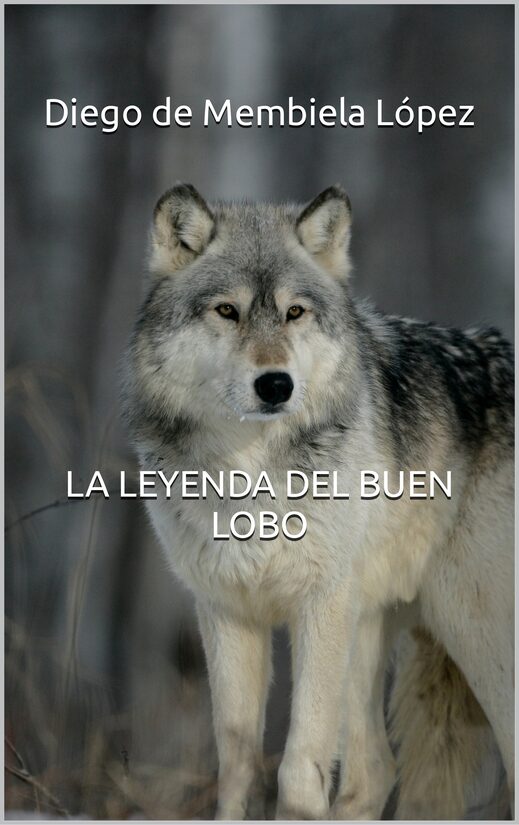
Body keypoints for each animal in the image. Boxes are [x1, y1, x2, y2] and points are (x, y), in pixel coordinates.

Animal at [124, 183, 514, 820]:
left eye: (294, 313)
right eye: (227, 311)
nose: (275, 384)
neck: (250, 474)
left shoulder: (319, 605)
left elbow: (297, 767)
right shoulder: (229, 611)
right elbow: (237, 763)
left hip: (468, 626)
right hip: (371, 628)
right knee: (375, 772)